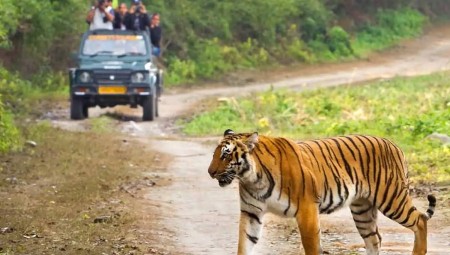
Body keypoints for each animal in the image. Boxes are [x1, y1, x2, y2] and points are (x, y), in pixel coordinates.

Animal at [207, 129, 436, 255]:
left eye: (226, 155)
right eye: (215, 154)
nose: (210, 172)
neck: (252, 178)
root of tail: (394, 144)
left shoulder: (306, 209)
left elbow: (311, 246)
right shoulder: (251, 213)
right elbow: (244, 243)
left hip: (391, 198)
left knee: (420, 220)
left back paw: (418, 252)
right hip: (362, 210)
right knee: (374, 239)